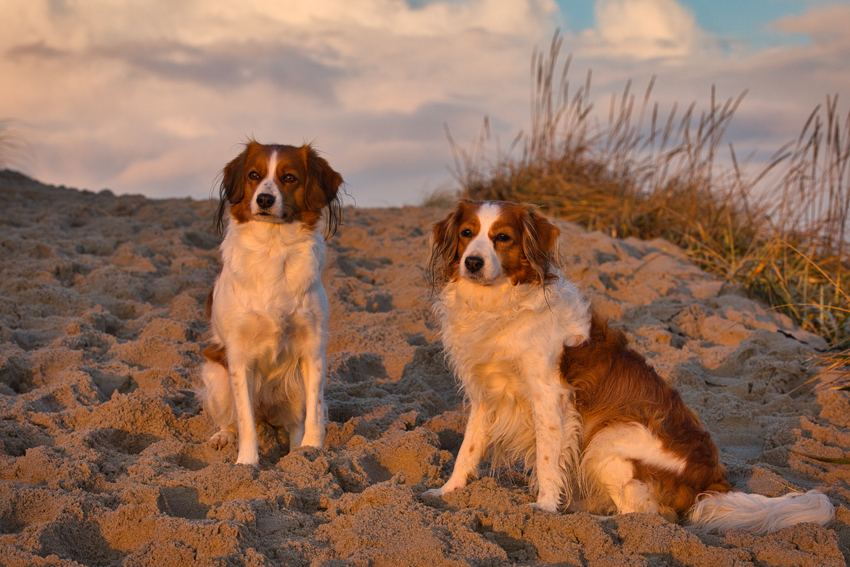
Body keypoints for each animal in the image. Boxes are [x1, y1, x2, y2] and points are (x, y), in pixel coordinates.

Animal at [199, 140, 342, 464]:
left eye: (289, 178)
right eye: (254, 175)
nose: (264, 199)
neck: (273, 246)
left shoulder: (312, 347)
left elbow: (314, 412)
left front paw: (310, 453)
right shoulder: (238, 355)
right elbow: (245, 420)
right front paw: (246, 463)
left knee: (295, 422)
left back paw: (295, 453)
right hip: (215, 375)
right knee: (232, 419)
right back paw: (222, 436)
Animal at [420, 201, 832, 536]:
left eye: (502, 237)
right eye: (467, 234)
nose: (472, 262)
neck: (498, 305)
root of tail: (710, 480)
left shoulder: (550, 398)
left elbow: (548, 460)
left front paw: (543, 509)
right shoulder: (485, 395)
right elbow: (468, 449)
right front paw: (447, 491)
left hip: (608, 439)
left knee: (646, 515)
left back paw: (595, 520)